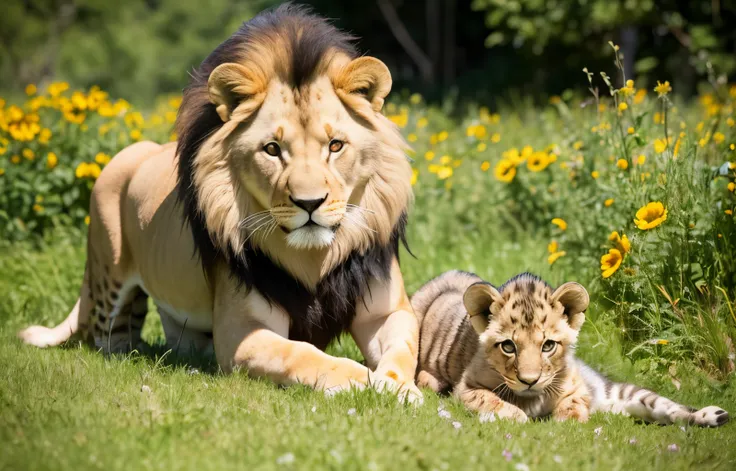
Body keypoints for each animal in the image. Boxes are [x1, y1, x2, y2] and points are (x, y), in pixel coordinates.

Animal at [20, 2, 422, 402]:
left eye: (336, 145)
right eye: (272, 149)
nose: (310, 203)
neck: (314, 257)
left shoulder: (388, 311)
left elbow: (403, 350)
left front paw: (399, 386)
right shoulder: (241, 332)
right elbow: (303, 354)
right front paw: (361, 379)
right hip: (109, 272)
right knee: (109, 336)